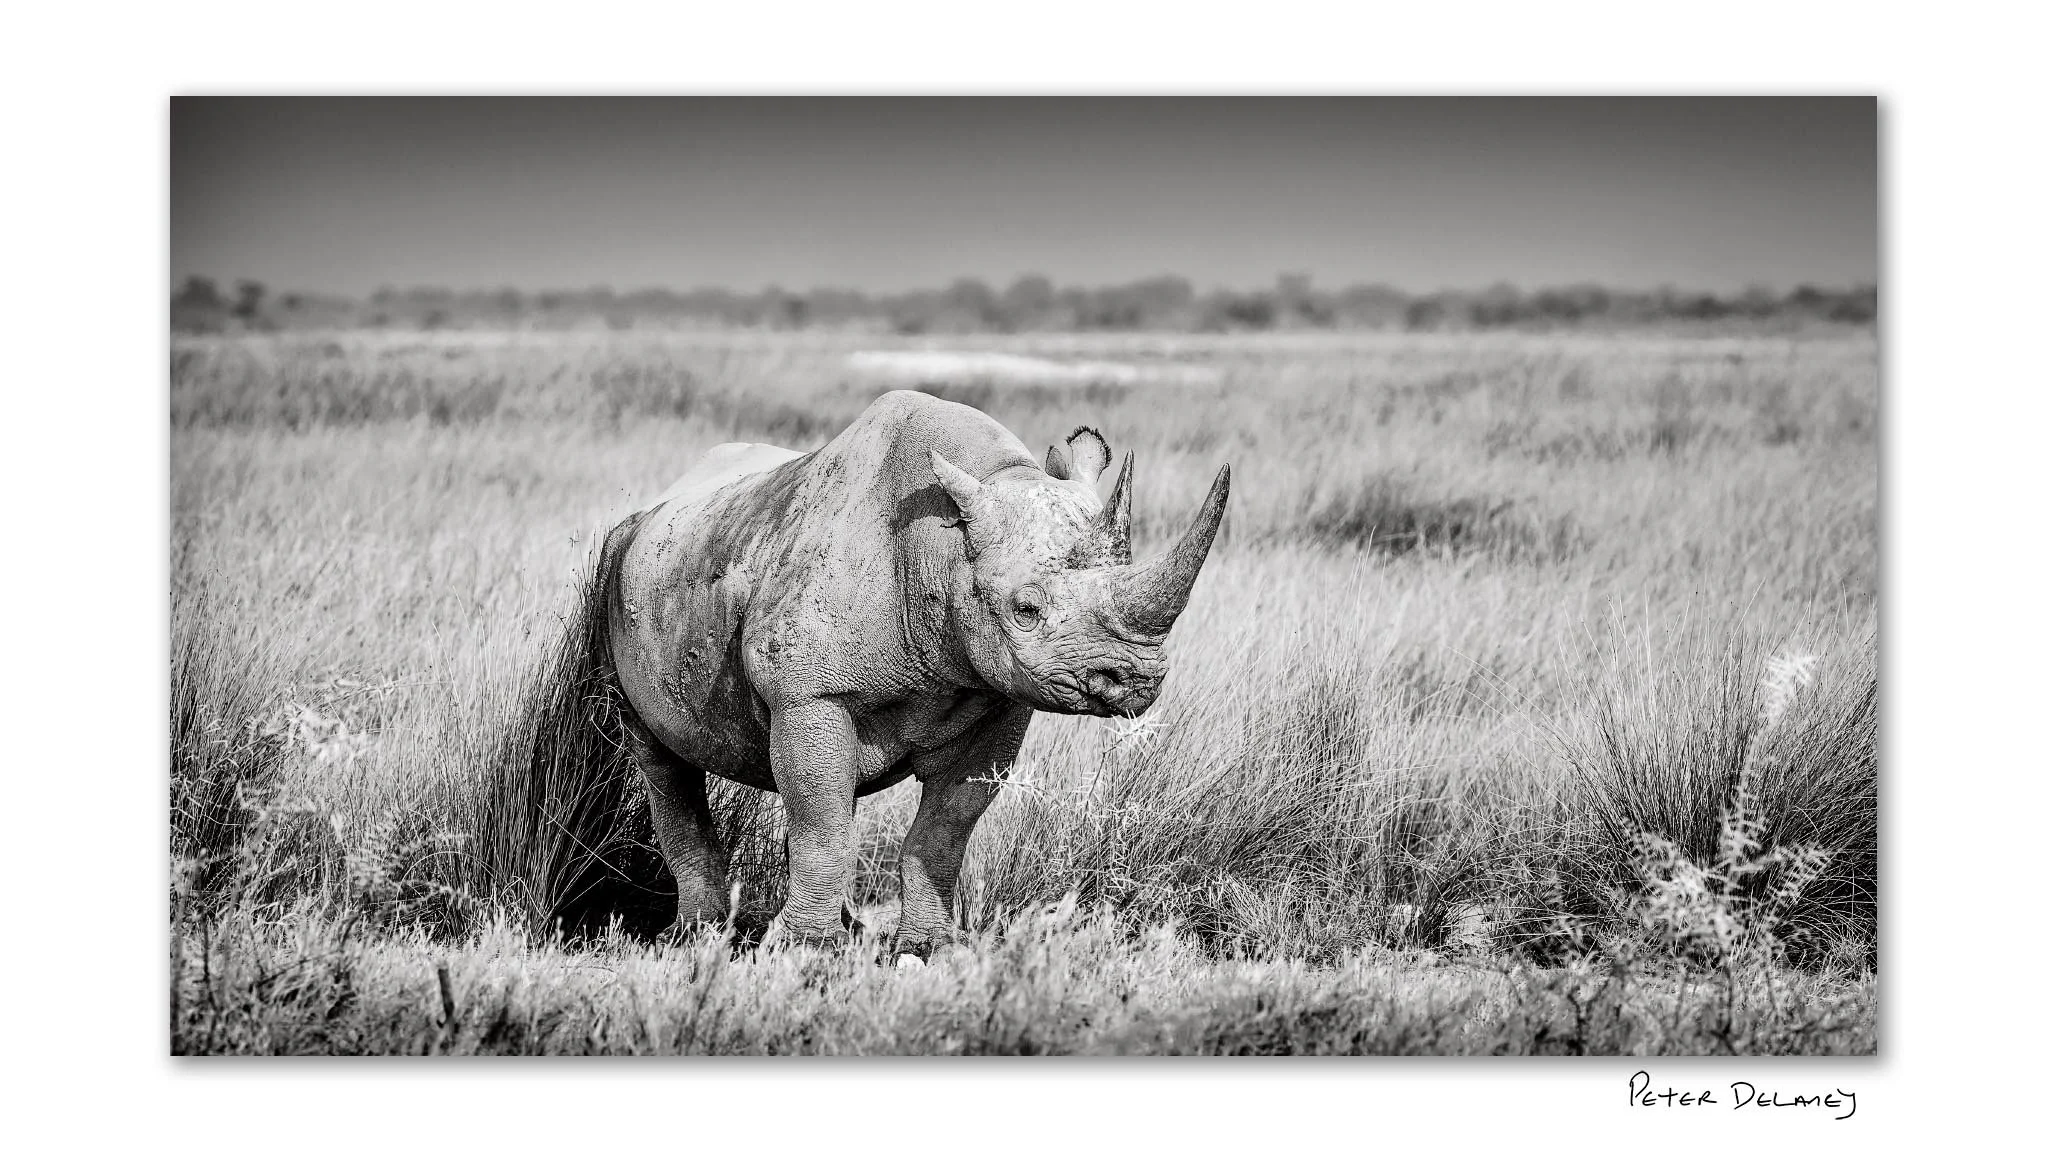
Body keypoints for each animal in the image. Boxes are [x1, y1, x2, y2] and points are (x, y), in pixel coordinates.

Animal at [596, 389, 1229, 962]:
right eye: (1025, 609)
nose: (1136, 678)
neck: (942, 549)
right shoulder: (809, 695)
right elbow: (822, 823)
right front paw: (804, 954)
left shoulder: (995, 697)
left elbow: (945, 827)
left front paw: (926, 952)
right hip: (612, 569)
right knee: (660, 759)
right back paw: (695, 937)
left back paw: (838, 931)